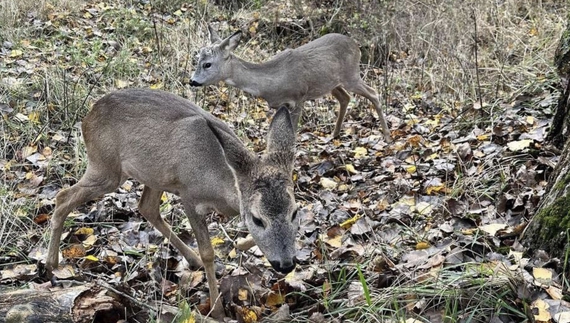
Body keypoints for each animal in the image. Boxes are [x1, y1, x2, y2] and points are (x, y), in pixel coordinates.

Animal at [46, 88, 298, 322]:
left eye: (295, 212)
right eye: (257, 219)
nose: (285, 264)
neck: (220, 183)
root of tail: (88, 116)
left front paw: (239, 245)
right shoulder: (189, 194)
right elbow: (208, 252)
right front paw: (216, 309)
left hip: (152, 174)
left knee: (146, 207)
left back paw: (192, 259)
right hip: (106, 167)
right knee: (63, 196)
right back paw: (51, 264)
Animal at [191, 27, 390, 144]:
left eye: (207, 64)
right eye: (197, 60)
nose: (192, 81)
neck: (270, 83)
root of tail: (356, 45)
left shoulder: (298, 98)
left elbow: (291, 134)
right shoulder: (280, 105)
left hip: (351, 75)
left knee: (373, 93)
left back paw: (387, 137)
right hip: (332, 83)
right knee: (345, 98)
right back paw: (334, 135)